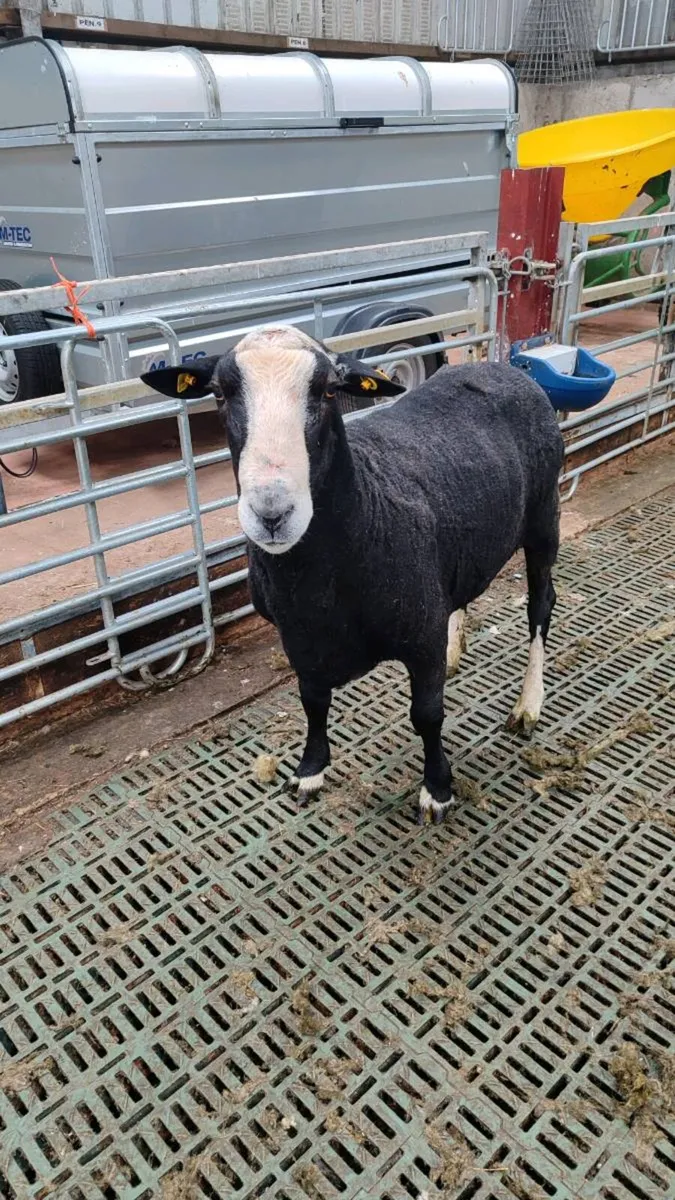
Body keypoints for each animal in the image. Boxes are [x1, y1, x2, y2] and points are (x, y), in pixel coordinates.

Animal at [142, 326, 564, 824]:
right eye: (220, 394)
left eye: (328, 391)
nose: (272, 514)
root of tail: (502, 366)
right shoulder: (297, 635)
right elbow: (312, 700)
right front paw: (309, 771)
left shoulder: (420, 633)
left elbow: (427, 714)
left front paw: (437, 790)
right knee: (462, 594)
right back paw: (455, 651)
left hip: (544, 519)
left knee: (540, 606)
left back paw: (528, 705)